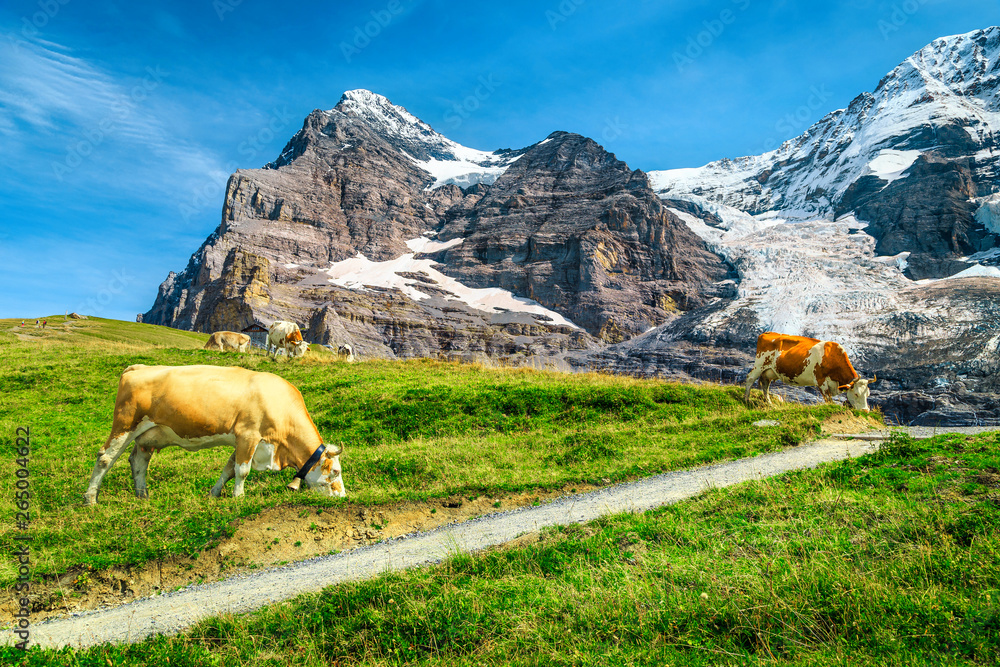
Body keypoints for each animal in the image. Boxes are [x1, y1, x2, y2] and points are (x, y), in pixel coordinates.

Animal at [80, 366, 344, 506]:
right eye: (335, 471)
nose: (342, 494)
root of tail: (137, 368)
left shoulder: (243, 442)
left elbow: (228, 469)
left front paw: (214, 493)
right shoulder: (248, 434)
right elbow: (242, 470)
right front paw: (239, 497)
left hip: (148, 435)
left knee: (138, 461)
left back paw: (142, 495)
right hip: (125, 424)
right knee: (105, 458)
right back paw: (91, 498)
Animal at [744, 332, 876, 410]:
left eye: (868, 394)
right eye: (856, 394)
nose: (866, 411)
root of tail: (767, 333)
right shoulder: (821, 381)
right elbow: (829, 401)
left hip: (770, 371)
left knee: (765, 385)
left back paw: (770, 404)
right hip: (759, 364)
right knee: (750, 378)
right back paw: (746, 399)